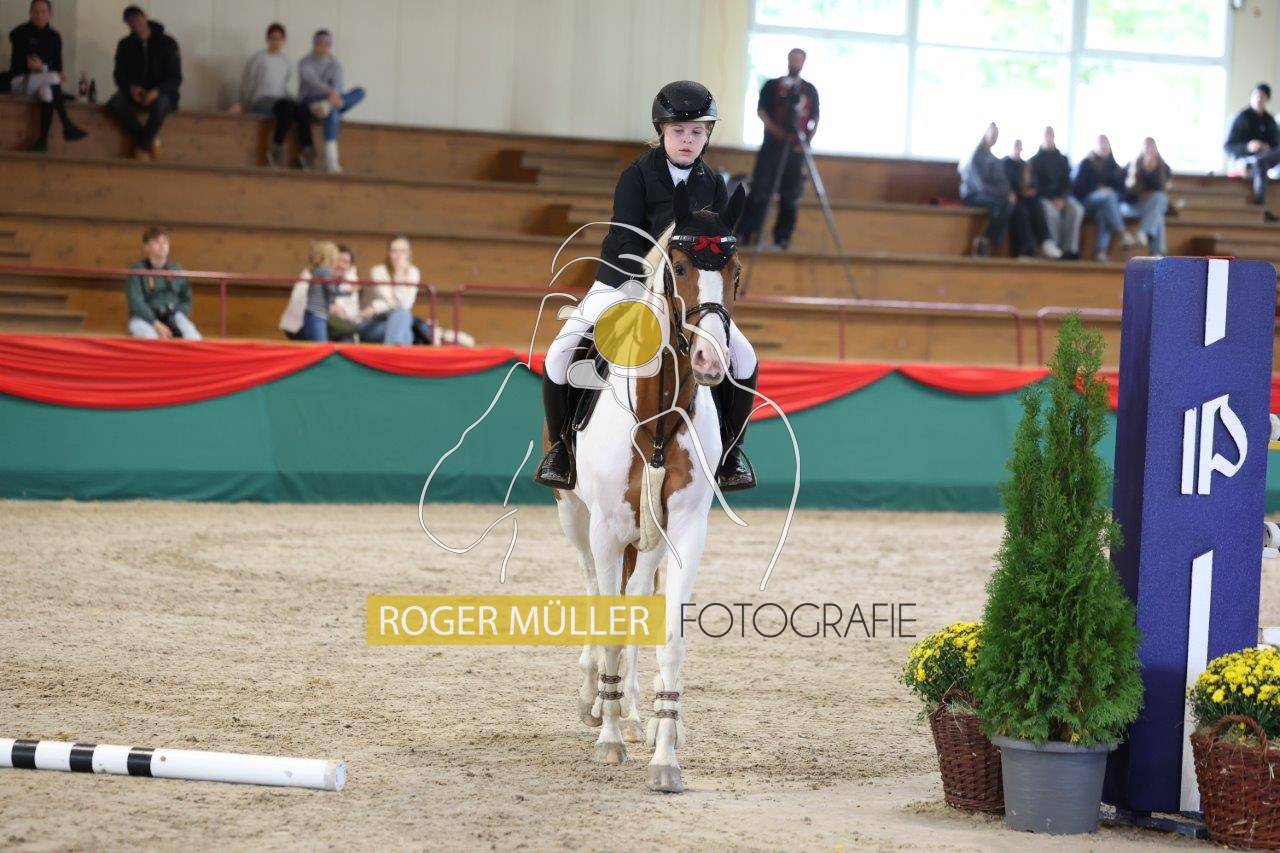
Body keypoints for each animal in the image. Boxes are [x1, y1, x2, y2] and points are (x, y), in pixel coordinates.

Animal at [549, 182, 748, 793]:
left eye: (736, 271)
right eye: (679, 267)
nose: (710, 359)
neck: (657, 415)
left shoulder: (683, 530)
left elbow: (669, 638)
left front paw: (665, 755)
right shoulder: (608, 529)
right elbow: (610, 623)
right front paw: (608, 738)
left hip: (649, 539)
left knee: (636, 600)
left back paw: (638, 715)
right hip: (577, 520)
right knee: (595, 589)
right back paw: (594, 699)